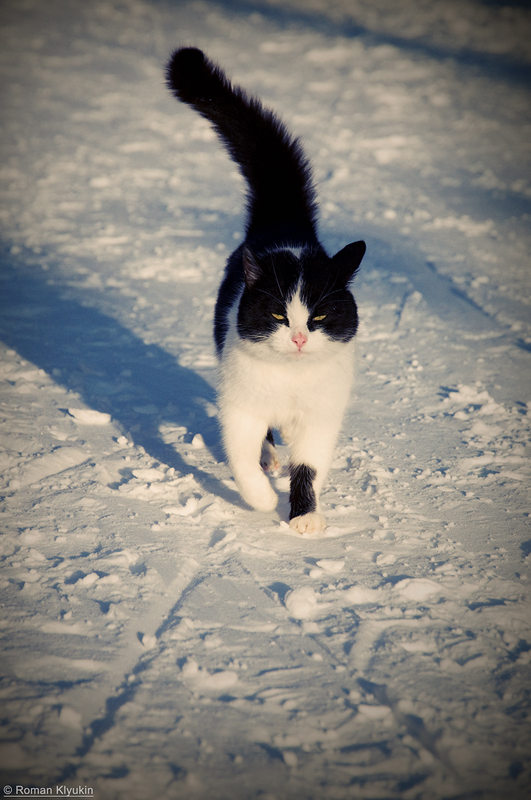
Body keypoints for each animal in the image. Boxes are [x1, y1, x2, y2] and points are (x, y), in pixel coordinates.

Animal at [166, 45, 366, 532]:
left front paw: (305, 518)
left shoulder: (322, 416)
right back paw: (270, 458)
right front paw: (259, 499)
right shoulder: (240, 408)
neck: (290, 381)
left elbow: (309, 465)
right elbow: (240, 456)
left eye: (319, 316)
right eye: (277, 314)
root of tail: (284, 223)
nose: (297, 339)